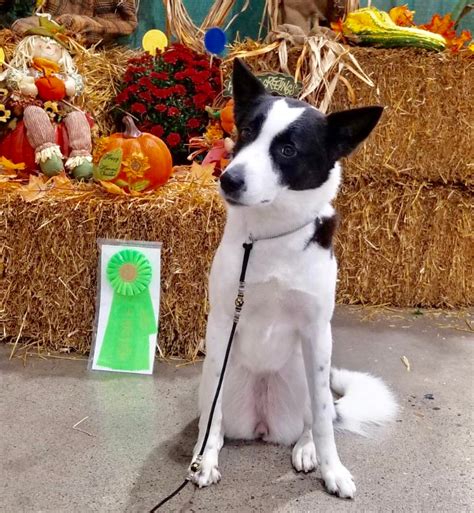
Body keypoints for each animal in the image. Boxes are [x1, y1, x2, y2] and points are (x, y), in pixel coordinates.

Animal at [191, 59, 398, 496]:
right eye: (246, 133)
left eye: (287, 150)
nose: (228, 179)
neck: (269, 236)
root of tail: (263, 424)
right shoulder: (221, 323)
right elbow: (211, 419)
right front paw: (204, 462)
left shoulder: (317, 332)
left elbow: (322, 420)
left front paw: (332, 470)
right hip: (213, 380)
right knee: (212, 416)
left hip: (305, 376)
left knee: (317, 416)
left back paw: (306, 449)